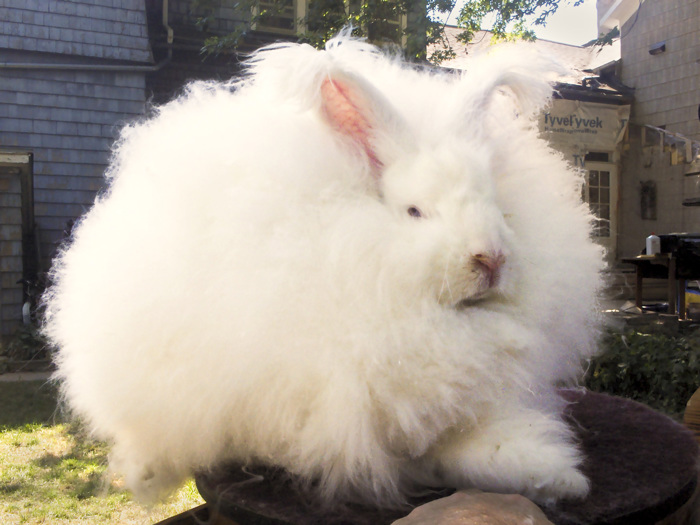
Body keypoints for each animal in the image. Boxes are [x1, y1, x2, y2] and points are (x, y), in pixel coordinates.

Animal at [45, 33, 600, 508]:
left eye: (497, 206)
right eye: (415, 212)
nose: (490, 259)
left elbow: (484, 448)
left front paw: (561, 478)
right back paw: (146, 472)